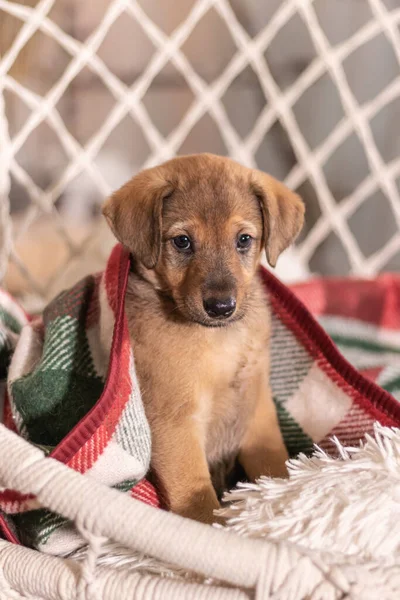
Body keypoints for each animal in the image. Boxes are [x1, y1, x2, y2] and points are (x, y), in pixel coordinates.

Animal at [103, 155, 304, 524]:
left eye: (243, 239)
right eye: (182, 241)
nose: (221, 307)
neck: (219, 340)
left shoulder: (257, 408)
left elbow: (273, 465)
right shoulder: (175, 421)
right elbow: (197, 498)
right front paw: (216, 530)